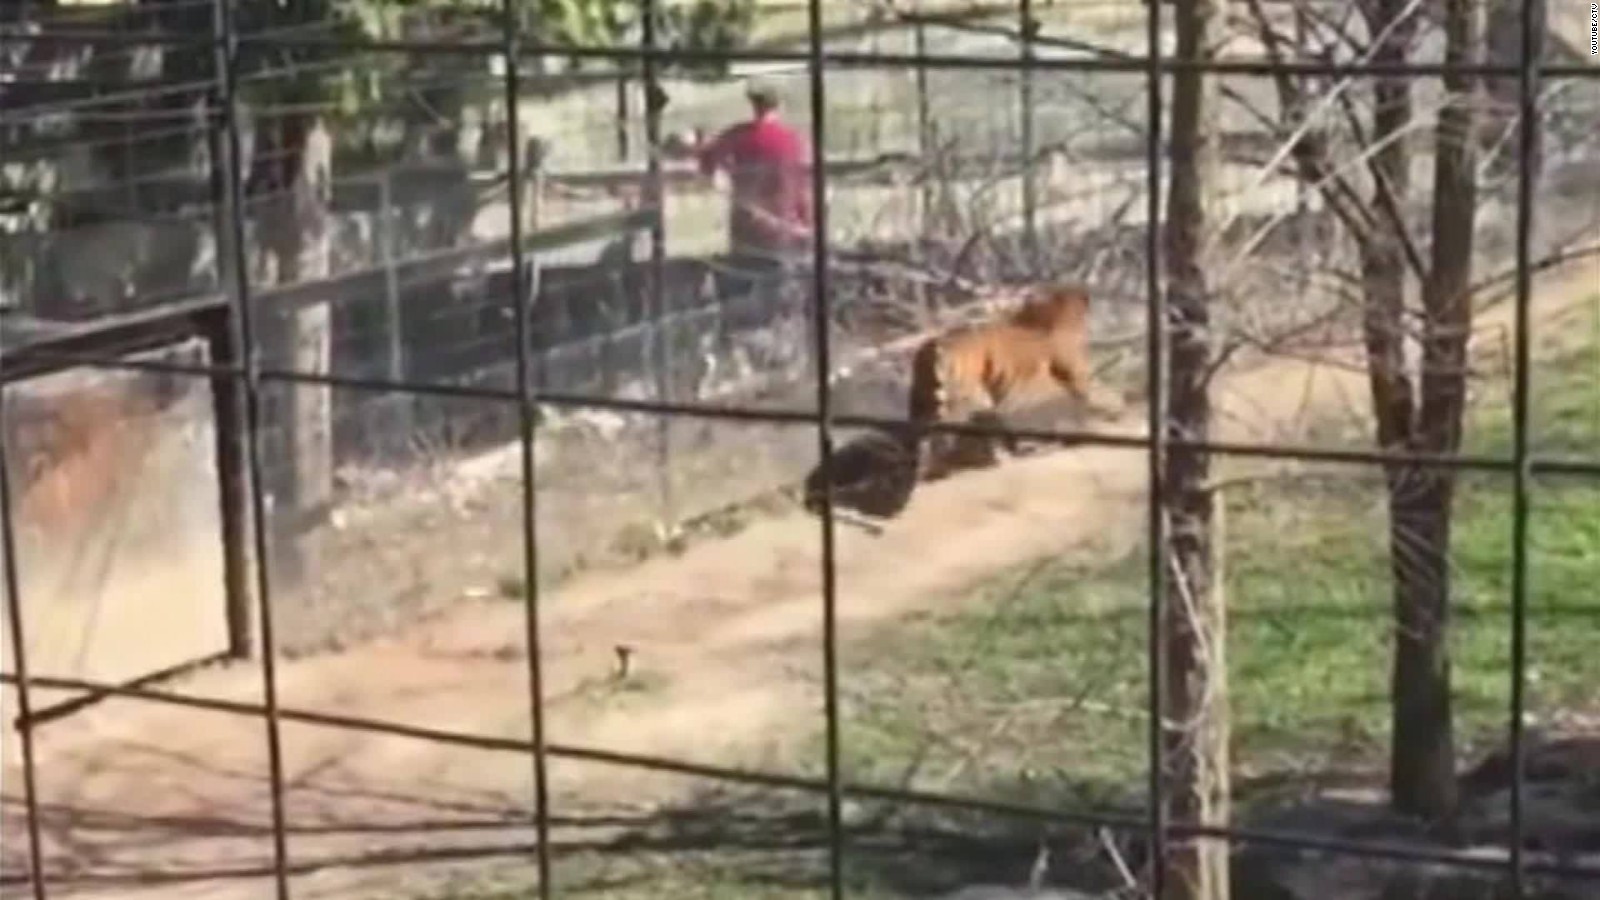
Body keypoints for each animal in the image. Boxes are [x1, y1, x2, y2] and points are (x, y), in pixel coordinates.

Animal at [908, 278, 1120, 477]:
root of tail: (936, 345)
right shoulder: (1075, 373)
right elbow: (1091, 396)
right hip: (960, 400)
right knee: (943, 434)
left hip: (926, 400)